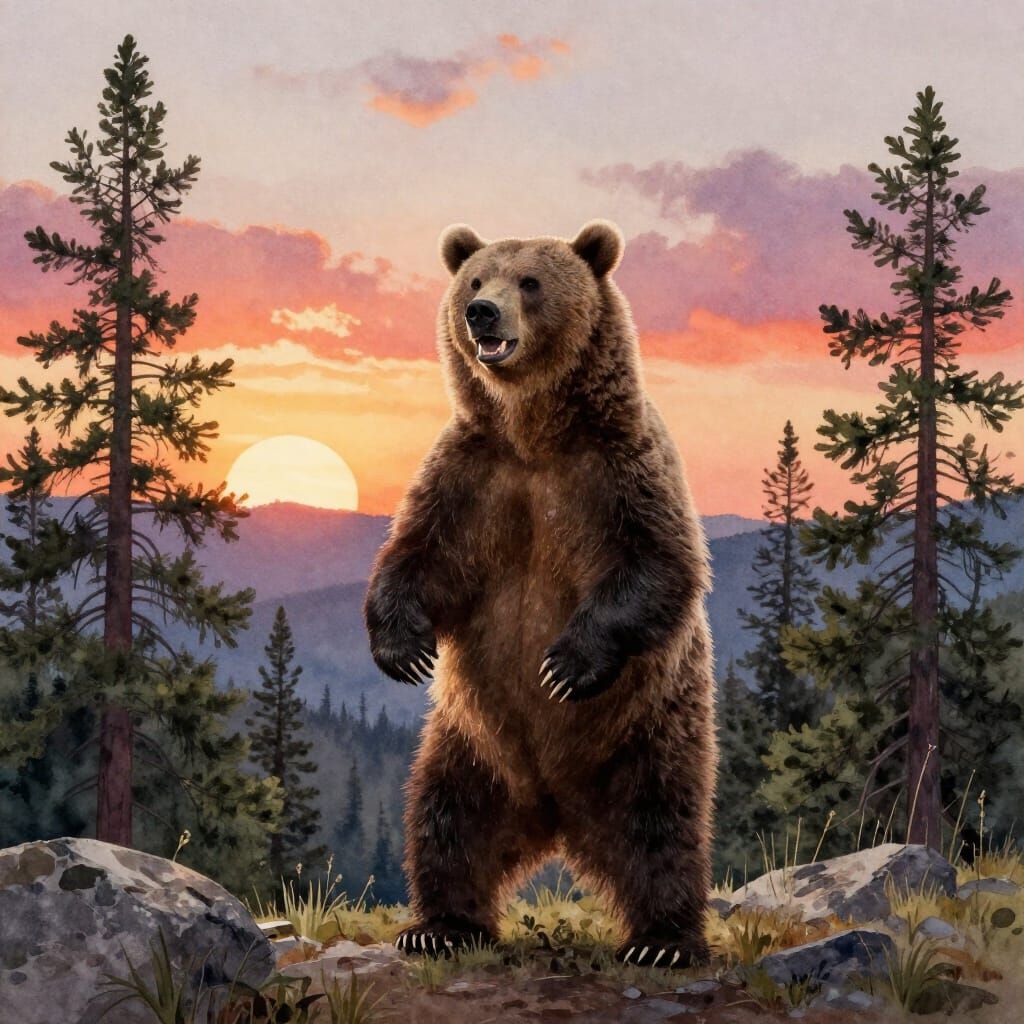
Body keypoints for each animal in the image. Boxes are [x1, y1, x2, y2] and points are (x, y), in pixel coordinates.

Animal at [363, 220, 716, 967]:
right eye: (475, 278)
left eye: (530, 281)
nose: (481, 313)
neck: (534, 434)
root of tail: (555, 811)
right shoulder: (473, 475)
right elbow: (417, 554)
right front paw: (403, 649)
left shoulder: (620, 469)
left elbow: (661, 563)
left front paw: (563, 665)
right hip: (470, 743)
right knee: (444, 818)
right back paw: (438, 926)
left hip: (645, 732)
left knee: (661, 825)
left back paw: (663, 941)